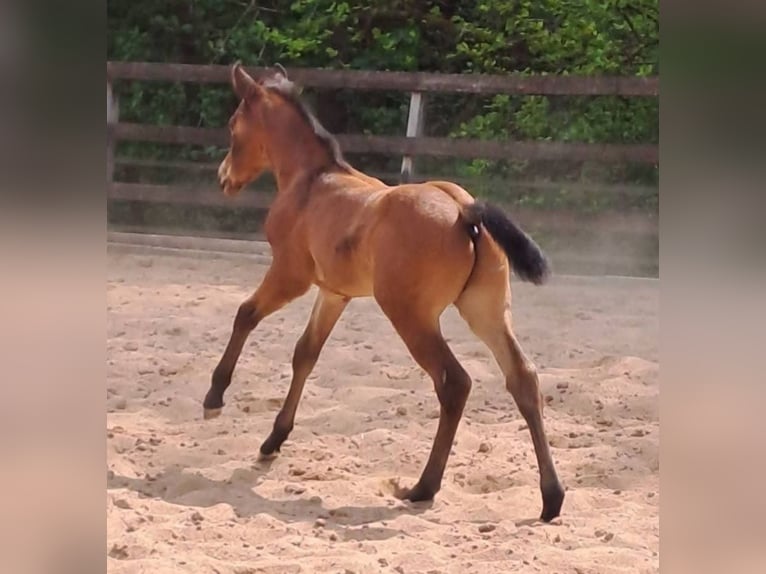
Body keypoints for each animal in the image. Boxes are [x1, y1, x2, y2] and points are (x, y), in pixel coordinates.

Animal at [202, 63, 565, 522]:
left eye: (233, 125)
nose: (223, 178)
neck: (311, 182)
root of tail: (464, 210)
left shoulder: (290, 275)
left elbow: (245, 314)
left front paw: (214, 396)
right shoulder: (334, 293)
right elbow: (306, 352)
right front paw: (273, 440)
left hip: (411, 316)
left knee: (454, 383)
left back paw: (423, 487)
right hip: (486, 311)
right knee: (523, 379)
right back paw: (551, 497)